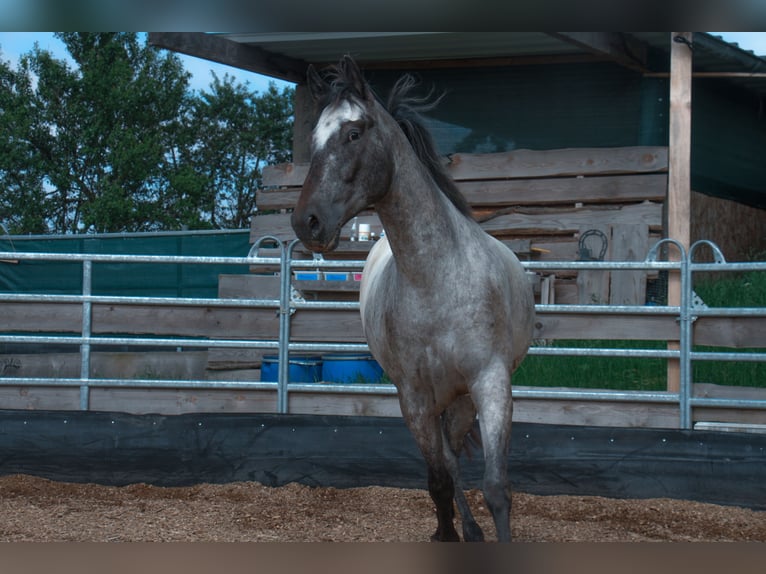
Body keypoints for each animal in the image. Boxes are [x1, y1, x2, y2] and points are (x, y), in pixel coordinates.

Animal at [292, 56, 536, 544]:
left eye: (354, 133)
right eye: (313, 141)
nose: (306, 221)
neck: (434, 282)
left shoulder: (490, 382)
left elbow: (497, 488)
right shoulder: (415, 397)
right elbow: (438, 481)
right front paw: (446, 533)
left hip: (461, 399)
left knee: (457, 453)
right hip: (440, 400)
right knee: (448, 462)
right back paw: (468, 530)